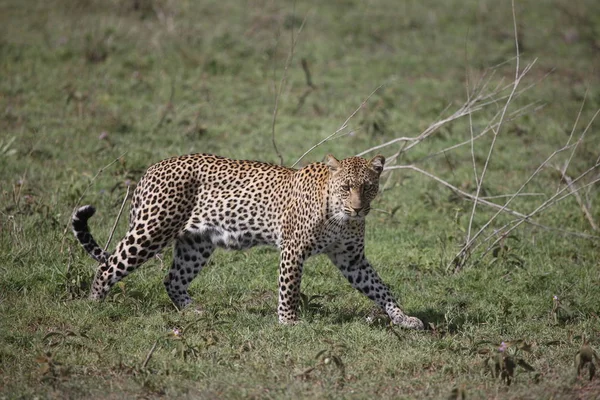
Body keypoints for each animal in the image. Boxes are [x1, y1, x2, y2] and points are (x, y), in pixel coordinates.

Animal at [70, 152, 424, 330]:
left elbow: (380, 288)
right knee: (108, 266)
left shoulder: (352, 259)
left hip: (196, 243)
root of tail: (152, 167)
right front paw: (288, 322)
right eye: (346, 187)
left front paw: (403, 318)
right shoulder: (293, 250)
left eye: (368, 187)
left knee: (172, 279)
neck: (339, 215)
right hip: (152, 230)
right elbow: (289, 289)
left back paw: (193, 312)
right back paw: (92, 307)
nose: (358, 207)